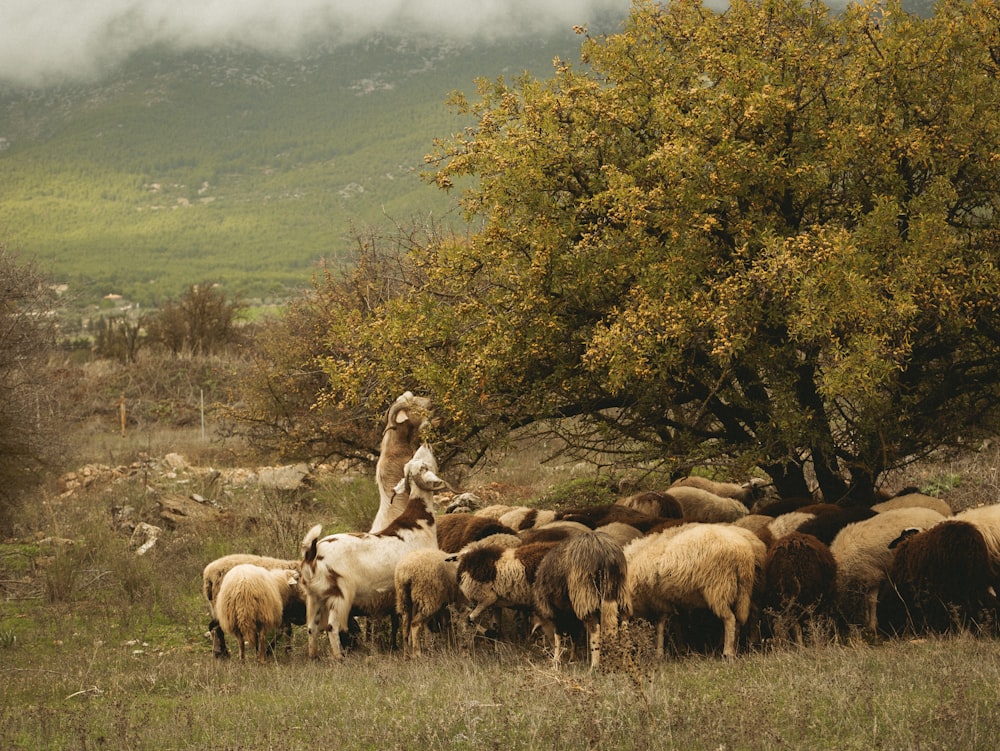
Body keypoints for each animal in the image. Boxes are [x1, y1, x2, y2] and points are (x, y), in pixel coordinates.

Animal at [298, 444, 448, 660]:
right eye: (423, 466)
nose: (426, 444)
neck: (419, 522)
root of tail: (312, 555)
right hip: (339, 594)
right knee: (332, 627)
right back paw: (339, 658)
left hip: (315, 596)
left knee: (312, 627)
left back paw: (314, 656)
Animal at [532, 528, 624, 668]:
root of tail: (603, 550)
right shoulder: (570, 613)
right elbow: (575, 635)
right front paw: (572, 658)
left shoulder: (556, 612)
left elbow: (558, 635)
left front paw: (556, 660)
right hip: (617, 592)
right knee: (620, 623)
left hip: (585, 596)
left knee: (595, 628)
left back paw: (594, 665)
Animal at [624, 524, 764, 656]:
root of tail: (744, 553)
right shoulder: (672, 601)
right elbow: (675, 623)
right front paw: (680, 649)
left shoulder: (658, 601)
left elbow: (661, 626)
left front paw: (659, 652)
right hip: (744, 590)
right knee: (746, 615)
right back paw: (742, 644)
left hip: (719, 588)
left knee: (730, 619)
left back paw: (728, 651)